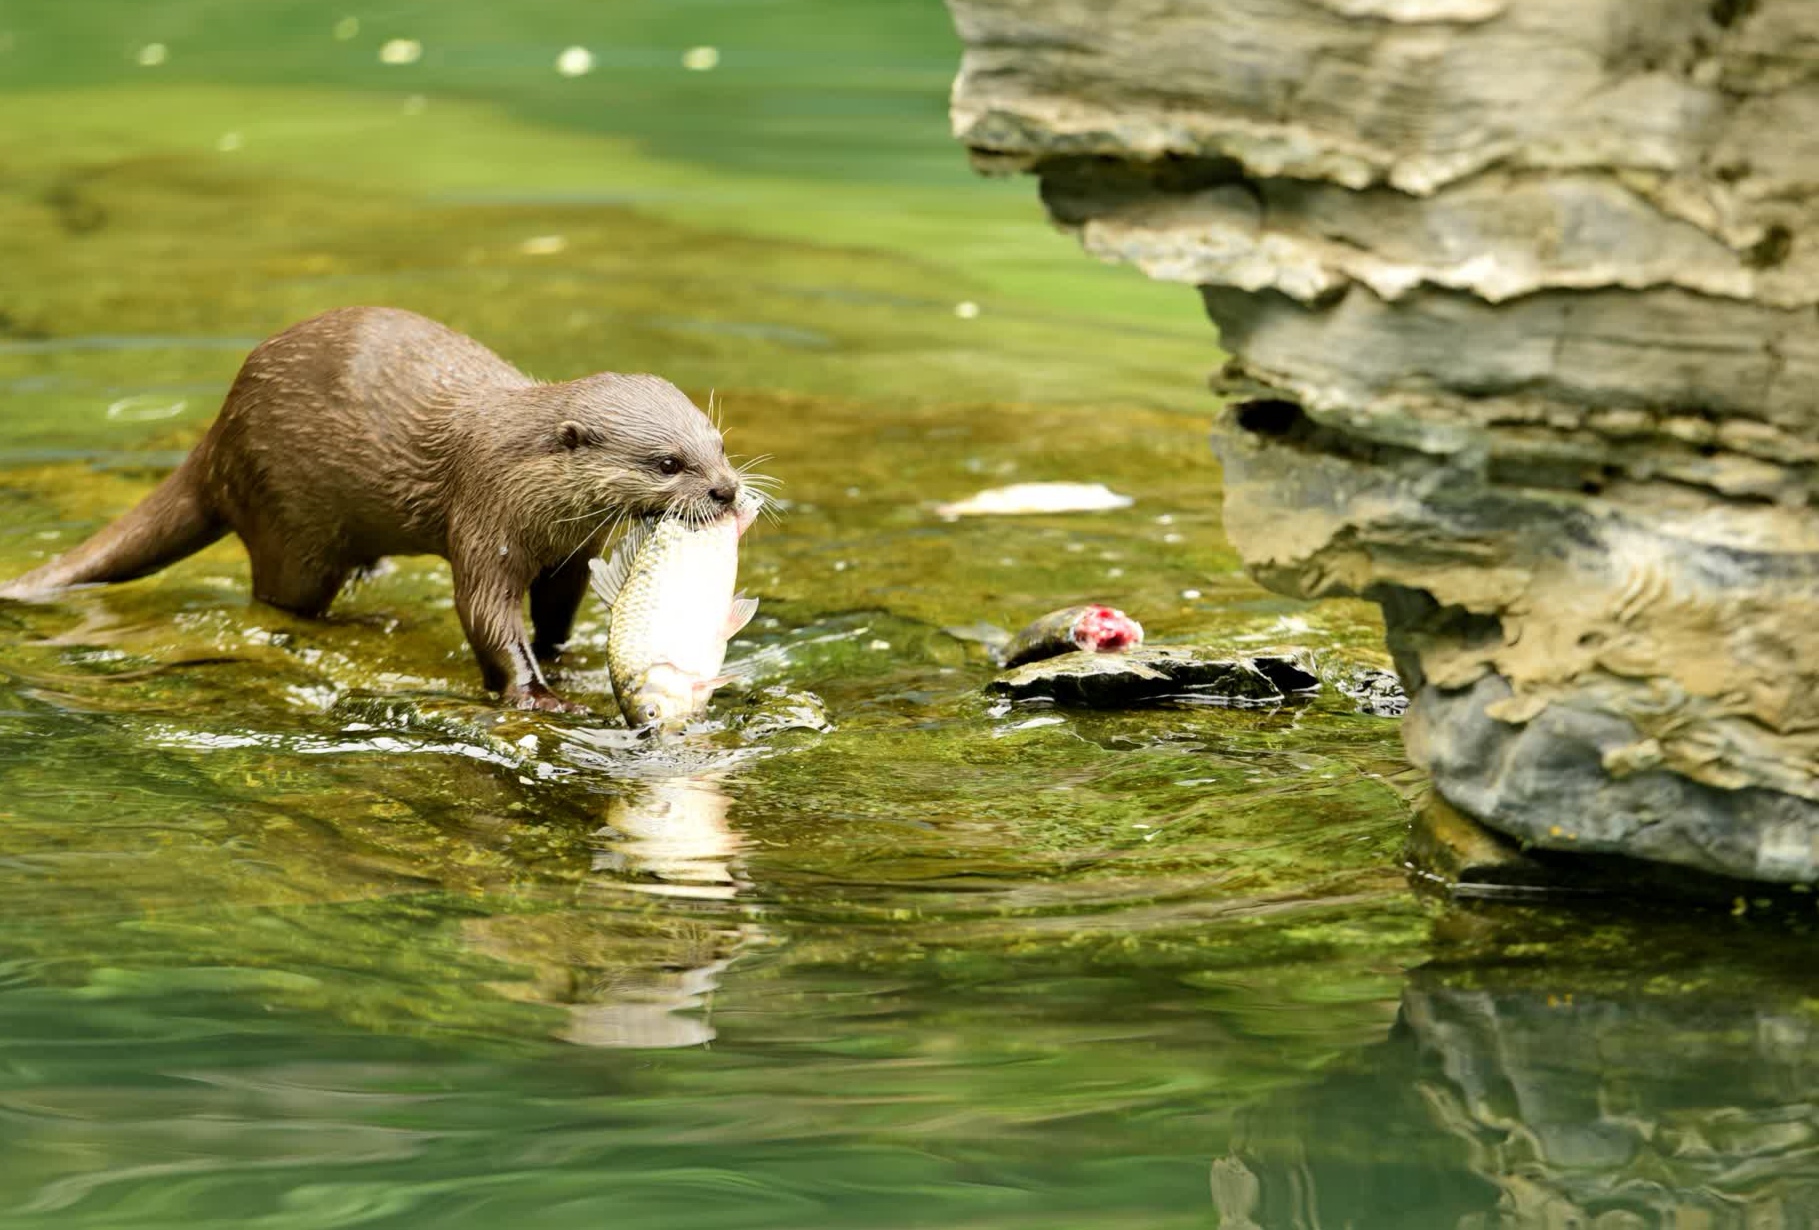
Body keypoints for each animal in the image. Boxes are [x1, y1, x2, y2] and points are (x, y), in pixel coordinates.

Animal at [0, 307, 742, 709]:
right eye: (667, 463)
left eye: (718, 444)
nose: (727, 490)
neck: (528, 480)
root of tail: (219, 435)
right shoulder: (487, 520)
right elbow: (485, 616)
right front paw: (535, 693)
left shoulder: (569, 552)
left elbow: (556, 611)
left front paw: (564, 659)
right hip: (290, 520)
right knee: (279, 600)